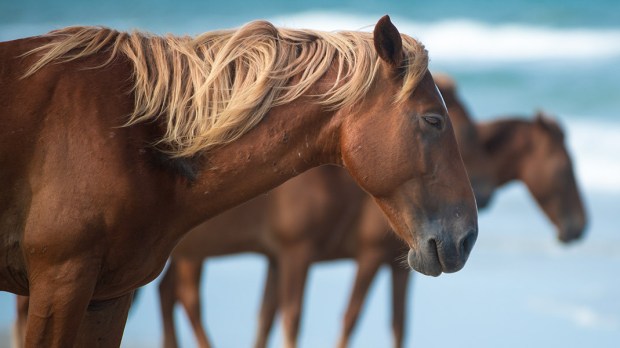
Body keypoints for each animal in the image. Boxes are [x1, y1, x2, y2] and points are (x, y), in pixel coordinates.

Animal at [150, 75, 588, 346]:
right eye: (565, 168)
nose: (581, 227)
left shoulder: (395, 266)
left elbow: (395, 327)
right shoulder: (327, 255)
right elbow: (339, 318)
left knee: (170, 295)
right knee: (186, 299)